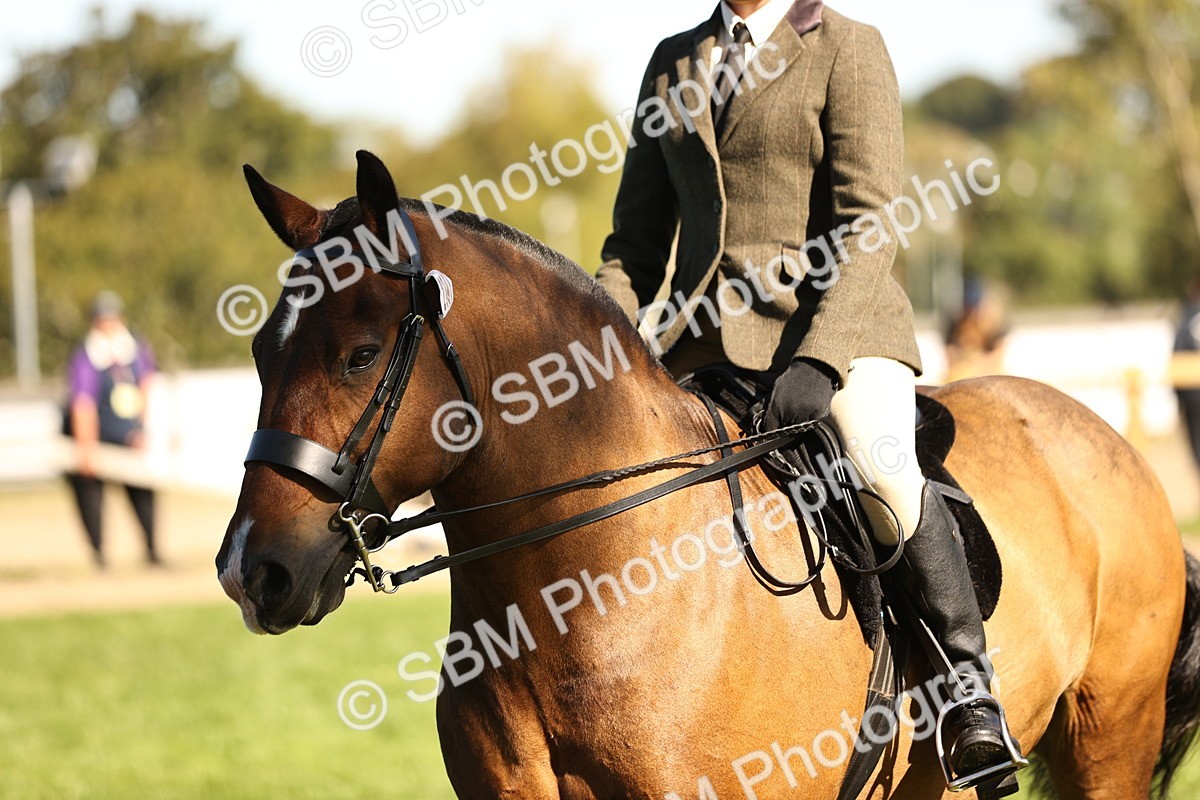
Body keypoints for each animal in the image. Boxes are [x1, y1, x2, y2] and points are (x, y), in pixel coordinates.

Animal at [217, 151, 1200, 799]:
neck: (574, 594)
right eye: (262, 352)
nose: (250, 572)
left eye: (360, 354)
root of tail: (1102, 434)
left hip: (1110, 735)